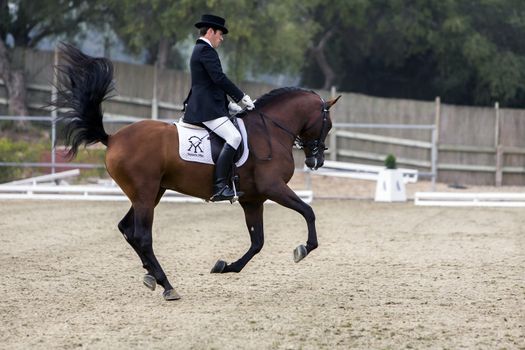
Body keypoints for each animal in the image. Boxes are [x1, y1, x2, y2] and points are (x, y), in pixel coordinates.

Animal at [52, 43, 340, 300]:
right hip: (145, 193)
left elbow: (257, 242)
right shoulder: (274, 187)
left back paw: (151, 276)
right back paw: (167, 286)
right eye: (328, 125)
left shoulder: (253, 199)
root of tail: (112, 139)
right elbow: (308, 212)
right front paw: (303, 249)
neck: (270, 130)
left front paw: (225, 266)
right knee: (141, 236)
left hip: (151, 192)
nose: (316, 161)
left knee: (126, 228)